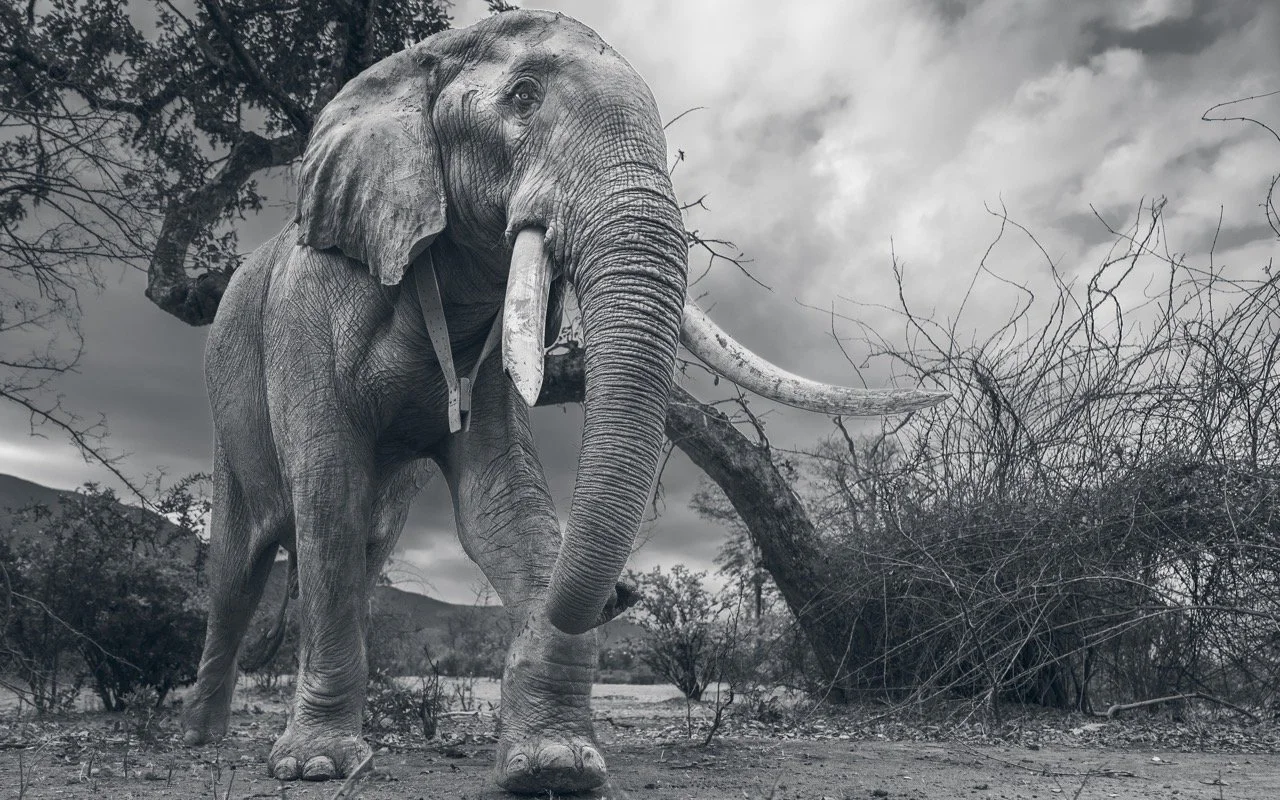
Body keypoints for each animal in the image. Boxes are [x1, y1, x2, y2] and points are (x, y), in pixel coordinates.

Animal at [180, 9, 946, 794]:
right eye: (521, 98)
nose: (628, 594)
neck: (411, 66)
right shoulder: (309, 310)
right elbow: (330, 489)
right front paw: (315, 766)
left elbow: (501, 502)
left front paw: (557, 764)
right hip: (226, 406)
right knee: (240, 568)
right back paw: (199, 739)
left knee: (364, 549)